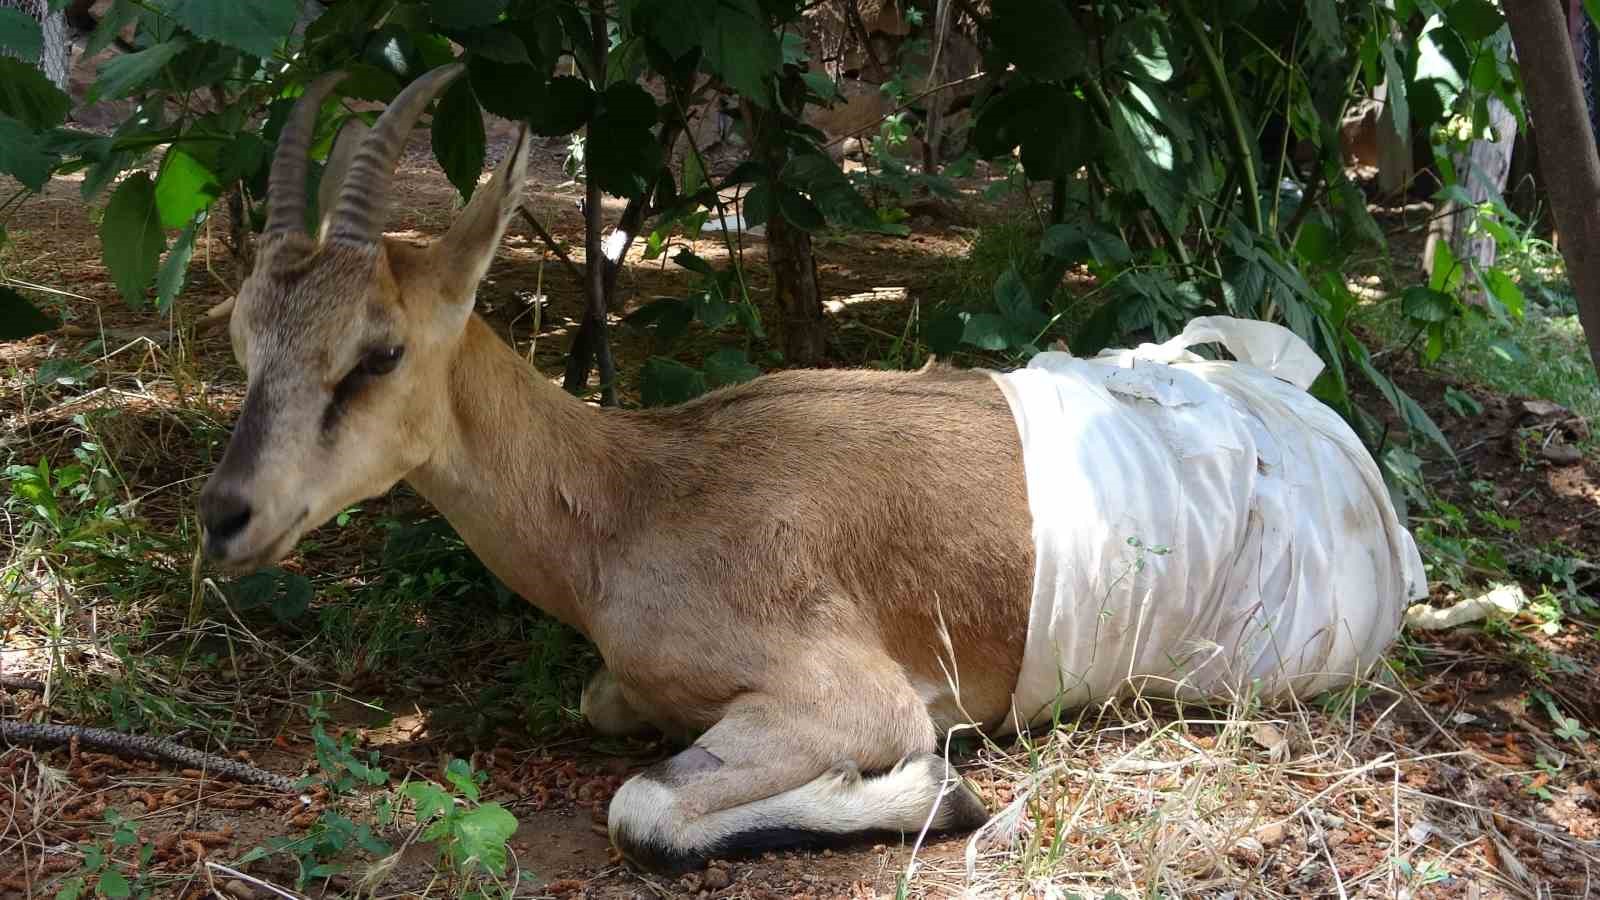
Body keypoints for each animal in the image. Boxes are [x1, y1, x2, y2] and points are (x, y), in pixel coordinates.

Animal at [200, 63, 1427, 871]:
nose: (227, 516)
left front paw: (941, 791)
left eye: (378, 351)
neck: (633, 502)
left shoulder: (846, 691)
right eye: (244, 332)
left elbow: (645, 810)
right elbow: (606, 715)